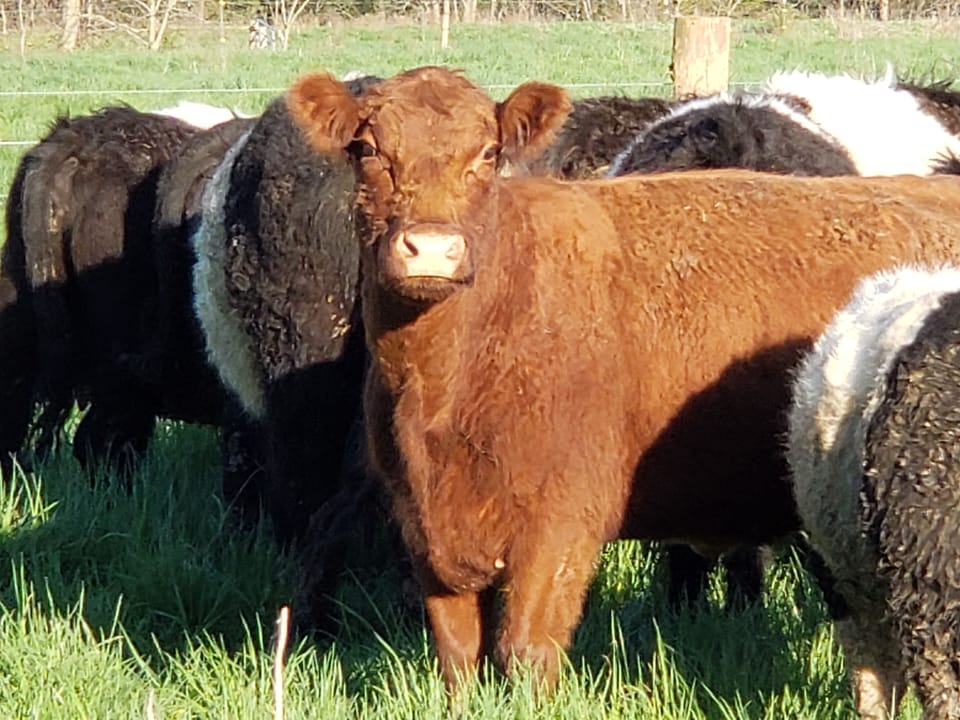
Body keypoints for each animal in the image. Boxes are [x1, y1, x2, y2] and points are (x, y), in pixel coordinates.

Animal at [283, 65, 960, 690]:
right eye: (368, 150)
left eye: (488, 154)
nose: (429, 248)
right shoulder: (428, 533)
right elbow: (457, 661)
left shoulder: (559, 531)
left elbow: (527, 656)